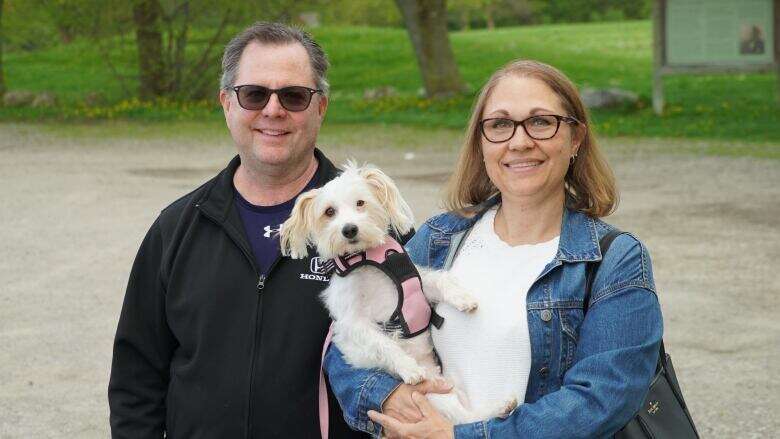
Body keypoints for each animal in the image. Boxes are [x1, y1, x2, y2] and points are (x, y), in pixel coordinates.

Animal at [278, 162, 512, 426]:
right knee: (461, 419)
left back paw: (500, 407)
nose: (349, 229)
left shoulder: (417, 284)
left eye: (360, 203)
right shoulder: (353, 322)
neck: (366, 261)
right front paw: (409, 368)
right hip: (434, 395)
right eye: (329, 212)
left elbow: (438, 280)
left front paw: (462, 298)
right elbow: (383, 343)